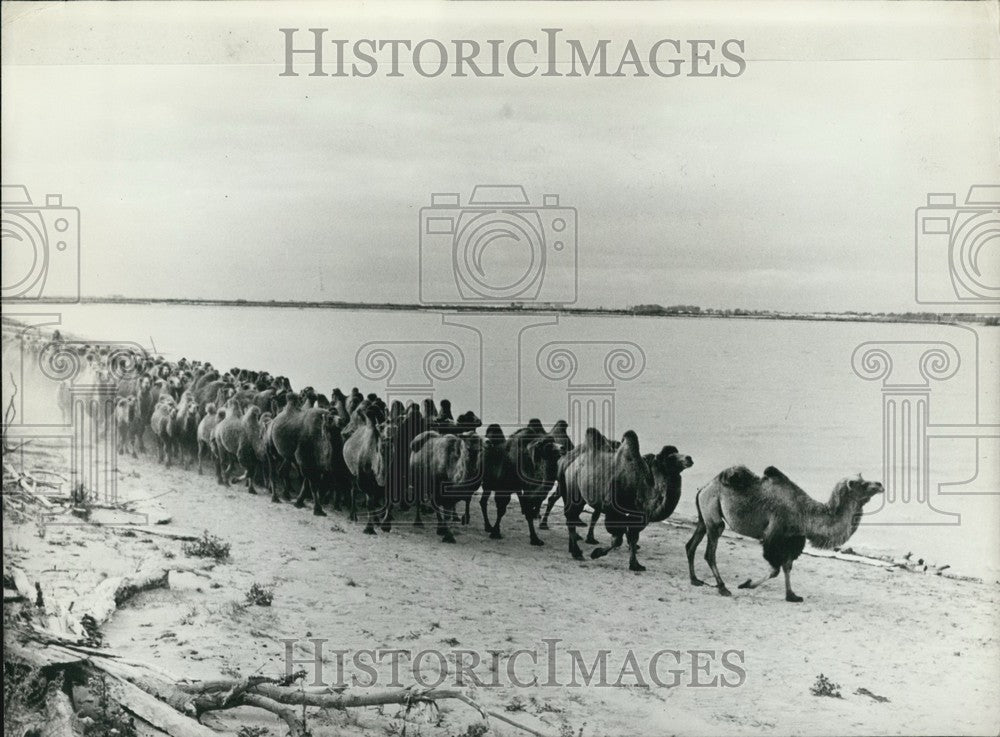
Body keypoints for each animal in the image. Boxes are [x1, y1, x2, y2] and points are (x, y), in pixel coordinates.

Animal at [560, 428, 692, 572]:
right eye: (671, 457)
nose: (689, 458)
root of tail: (572, 463)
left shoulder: (639, 517)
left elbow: (632, 538)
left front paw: (635, 565)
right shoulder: (613, 512)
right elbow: (618, 540)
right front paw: (596, 553)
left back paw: (572, 549)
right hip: (574, 490)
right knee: (571, 517)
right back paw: (576, 552)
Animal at [688, 468, 884, 600]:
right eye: (863, 484)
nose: (880, 484)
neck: (804, 514)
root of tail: (704, 487)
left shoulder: (793, 540)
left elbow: (788, 566)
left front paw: (792, 595)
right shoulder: (774, 537)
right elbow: (775, 569)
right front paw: (746, 584)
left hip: (703, 514)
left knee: (691, 544)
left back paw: (695, 580)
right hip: (712, 511)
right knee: (710, 550)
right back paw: (722, 588)